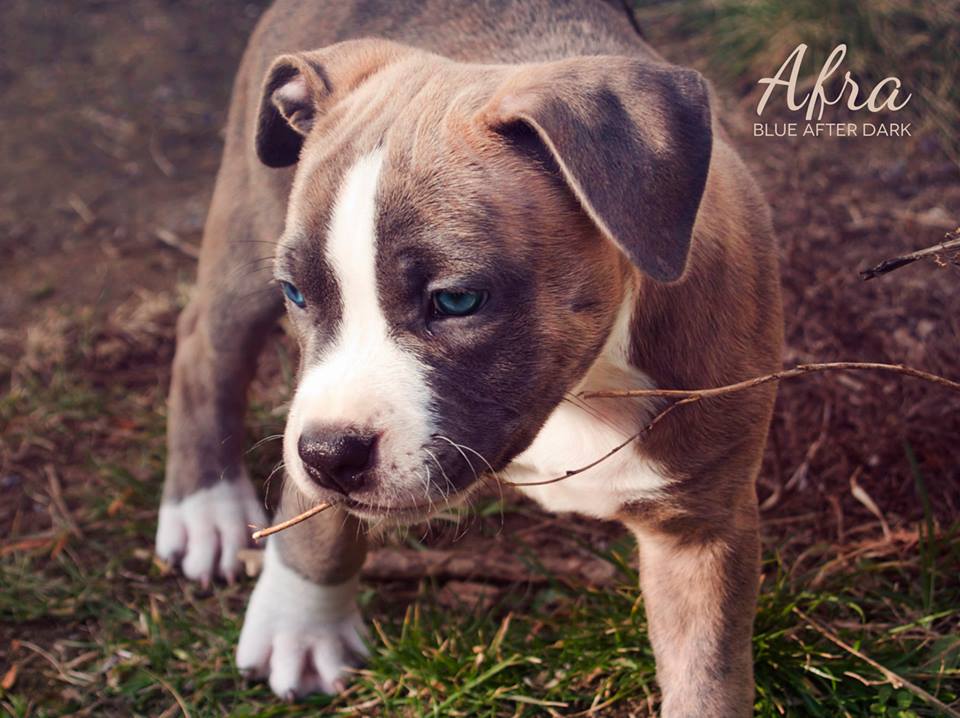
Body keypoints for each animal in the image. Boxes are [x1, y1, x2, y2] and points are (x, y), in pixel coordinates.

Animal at [155, 1, 783, 714]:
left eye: (457, 301)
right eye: (296, 294)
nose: (327, 455)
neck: (582, 386)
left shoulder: (704, 528)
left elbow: (709, 678)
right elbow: (315, 523)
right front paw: (299, 626)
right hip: (247, 206)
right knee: (205, 342)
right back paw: (204, 510)